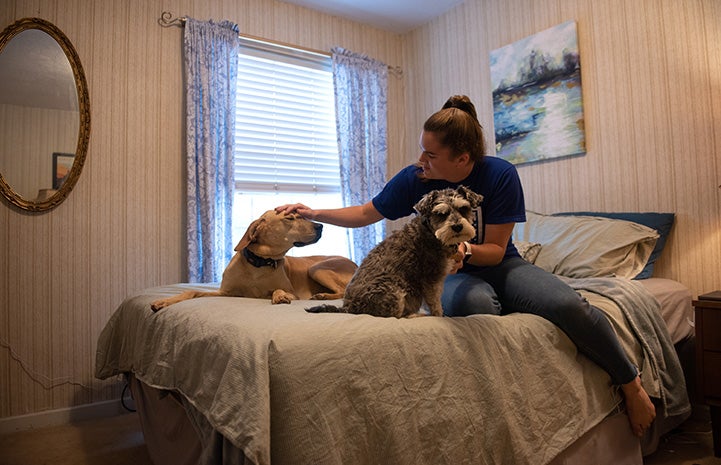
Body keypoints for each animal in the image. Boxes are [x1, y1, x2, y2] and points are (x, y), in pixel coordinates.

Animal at [149, 210, 358, 312]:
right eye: (290, 218)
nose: (320, 226)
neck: (259, 264)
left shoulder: (293, 293)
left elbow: (279, 290)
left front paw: (279, 296)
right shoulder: (226, 293)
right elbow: (191, 291)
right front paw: (164, 302)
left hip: (316, 267)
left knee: (343, 290)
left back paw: (322, 295)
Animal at [306, 187, 480, 318]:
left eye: (463, 209)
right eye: (440, 214)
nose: (457, 227)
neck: (431, 231)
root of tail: (350, 308)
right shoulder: (431, 278)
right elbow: (435, 302)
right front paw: (439, 316)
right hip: (393, 290)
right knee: (394, 315)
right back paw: (415, 315)